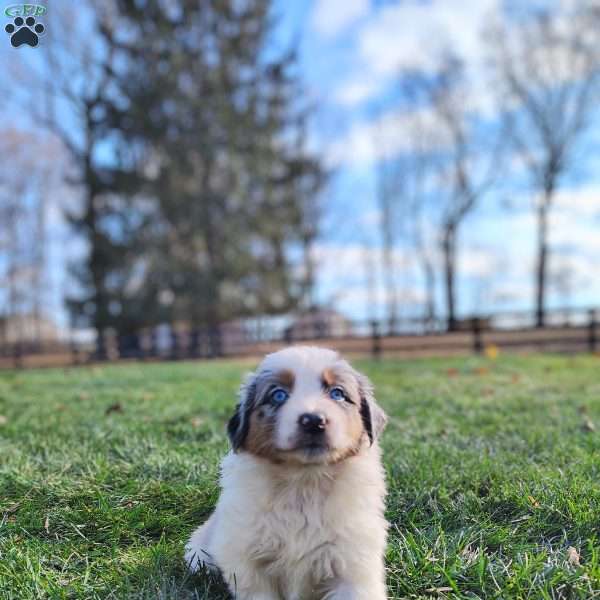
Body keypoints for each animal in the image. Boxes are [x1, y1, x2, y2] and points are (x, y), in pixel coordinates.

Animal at [185, 344, 386, 596]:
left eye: (337, 393)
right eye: (278, 395)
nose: (313, 421)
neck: (304, 481)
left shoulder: (352, 563)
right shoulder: (248, 563)